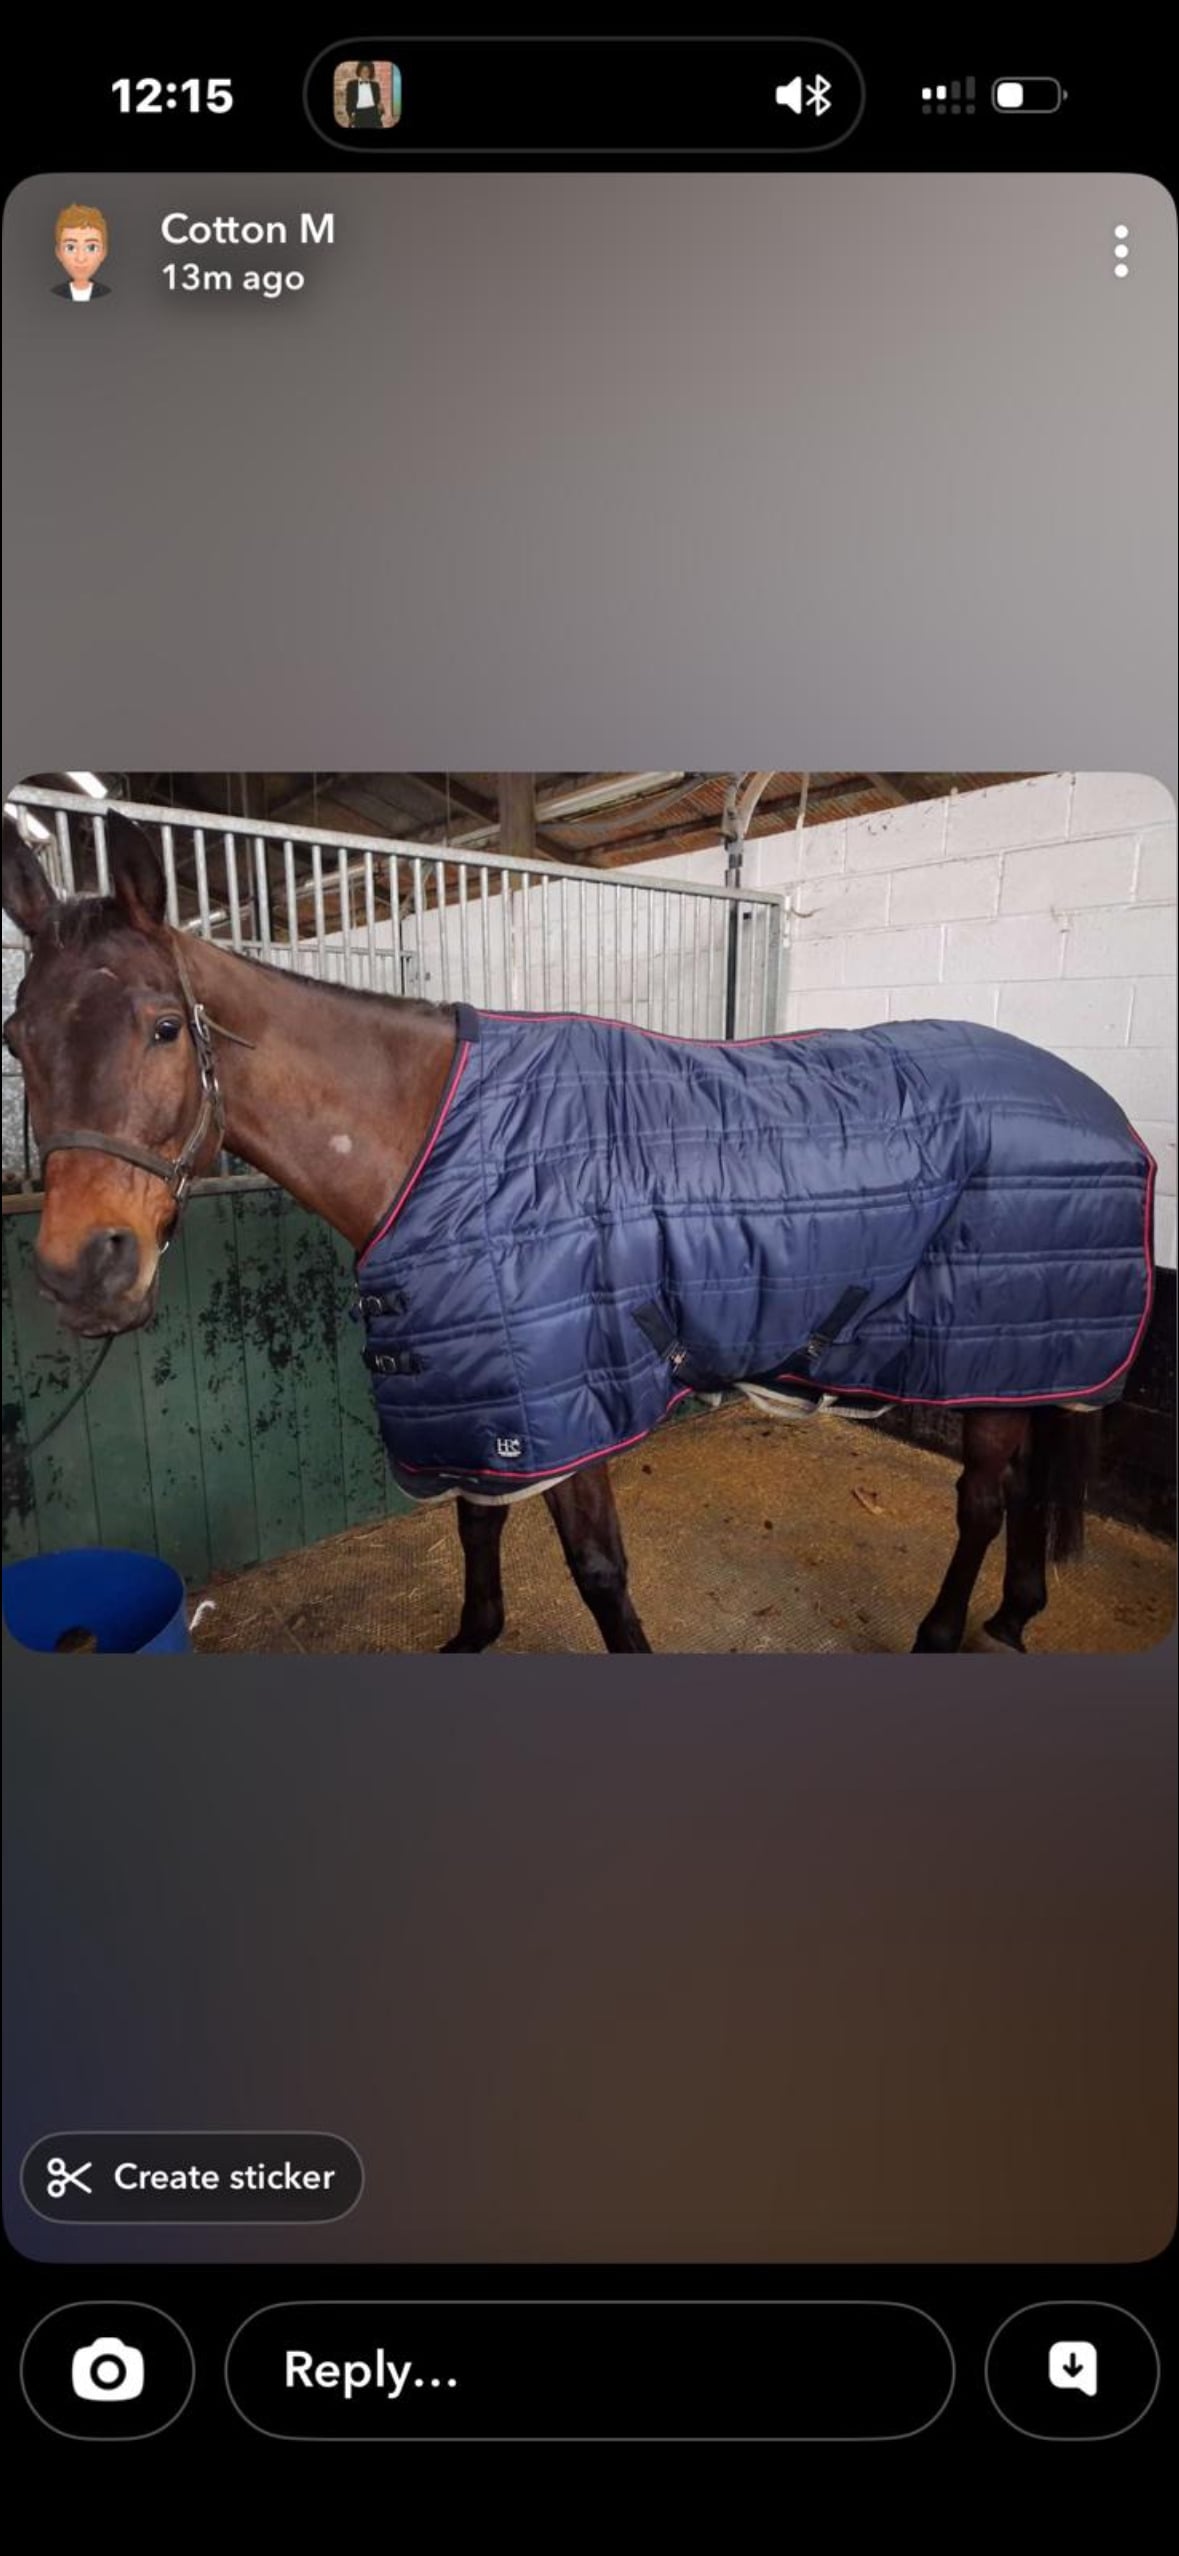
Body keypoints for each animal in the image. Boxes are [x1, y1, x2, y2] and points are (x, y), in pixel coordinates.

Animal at [2, 814, 1154, 1656]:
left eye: (162, 1027)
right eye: (16, 1037)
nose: (79, 1271)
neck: (443, 1139)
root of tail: (1099, 1104)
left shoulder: (566, 1394)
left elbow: (598, 1573)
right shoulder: (479, 1392)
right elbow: (476, 1521)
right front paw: (473, 1635)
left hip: (990, 1356)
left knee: (983, 1501)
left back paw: (947, 1628)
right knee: (1026, 1488)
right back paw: (1013, 1613)